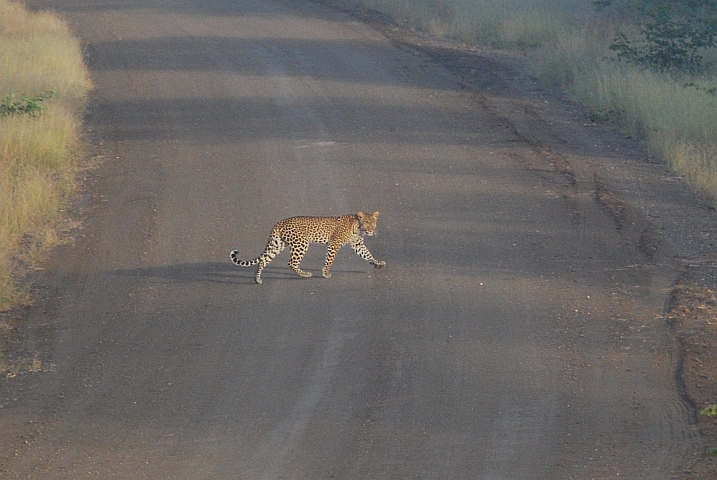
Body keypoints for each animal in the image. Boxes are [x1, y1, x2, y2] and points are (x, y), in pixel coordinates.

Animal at [229, 209, 386, 282]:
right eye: (366, 223)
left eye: (373, 223)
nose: (371, 231)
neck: (357, 228)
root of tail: (280, 222)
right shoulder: (334, 244)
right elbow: (330, 260)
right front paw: (326, 273)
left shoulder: (357, 244)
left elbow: (368, 254)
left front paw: (378, 263)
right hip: (301, 243)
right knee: (291, 262)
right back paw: (305, 274)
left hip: (278, 244)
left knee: (264, 259)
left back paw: (257, 279)